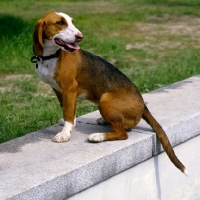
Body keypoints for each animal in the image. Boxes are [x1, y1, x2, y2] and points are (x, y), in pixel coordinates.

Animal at [31, 11, 188, 174]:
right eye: (60, 22)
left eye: (72, 22)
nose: (80, 36)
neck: (50, 57)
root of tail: (143, 104)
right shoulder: (58, 90)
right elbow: (67, 109)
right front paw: (69, 124)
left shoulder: (69, 88)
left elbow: (68, 112)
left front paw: (65, 133)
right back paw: (103, 121)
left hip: (105, 100)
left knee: (123, 134)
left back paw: (98, 136)